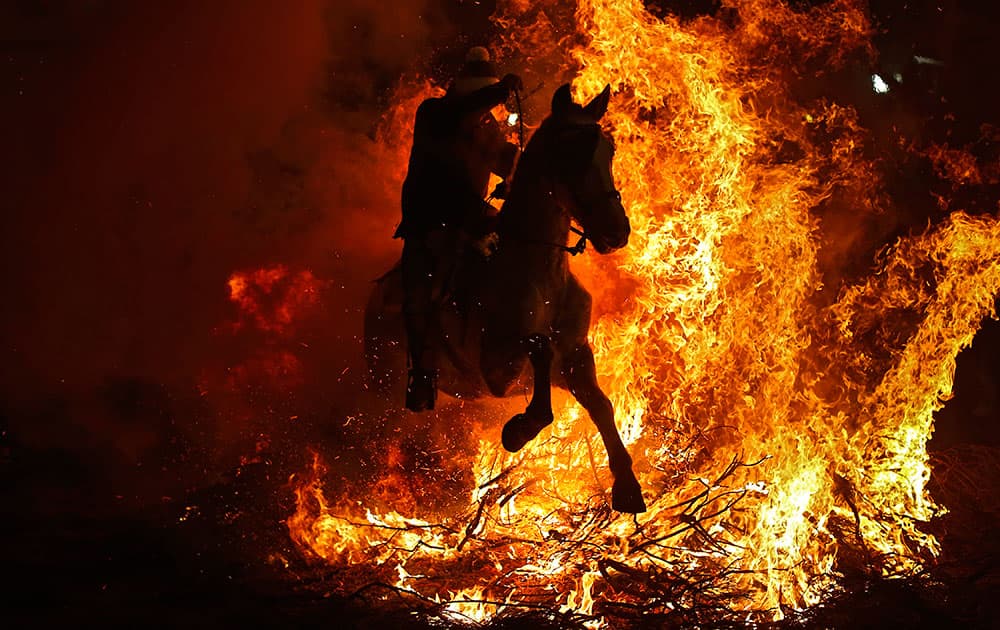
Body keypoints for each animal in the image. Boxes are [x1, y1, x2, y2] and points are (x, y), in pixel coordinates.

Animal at [364, 82, 644, 512]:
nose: (616, 231)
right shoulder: (497, 369)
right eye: (571, 153)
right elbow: (539, 349)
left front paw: (627, 483)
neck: (541, 273)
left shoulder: (577, 354)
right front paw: (519, 429)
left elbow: (601, 405)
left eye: (607, 150)